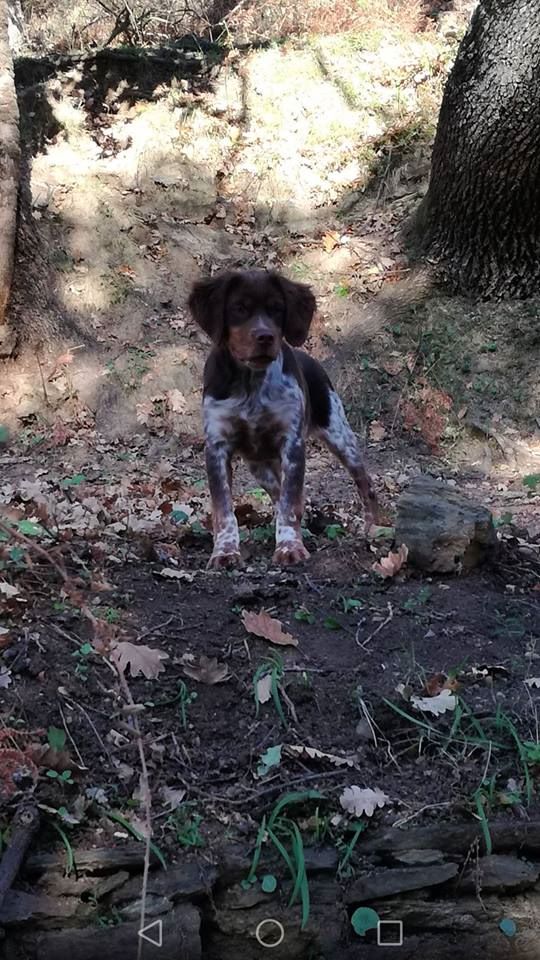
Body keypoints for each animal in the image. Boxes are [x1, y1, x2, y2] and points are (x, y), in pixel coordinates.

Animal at [188, 268, 378, 568]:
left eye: (277, 308)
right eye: (239, 308)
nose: (265, 337)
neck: (251, 383)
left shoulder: (293, 443)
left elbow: (290, 503)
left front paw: (289, 547)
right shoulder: (217, 446)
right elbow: (224, 509)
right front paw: (225, 552)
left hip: (341, 437)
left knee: (365, 485)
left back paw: (373, 528)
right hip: (260, 467)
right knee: (279, 493)